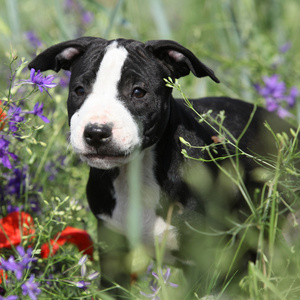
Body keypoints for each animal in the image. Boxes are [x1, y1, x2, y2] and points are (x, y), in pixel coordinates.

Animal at [28, 38, 292, 292]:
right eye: (79, 90)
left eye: (138, 92)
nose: (96, 132)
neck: (137, 174)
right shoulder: (113, 248)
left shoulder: (206, 258)